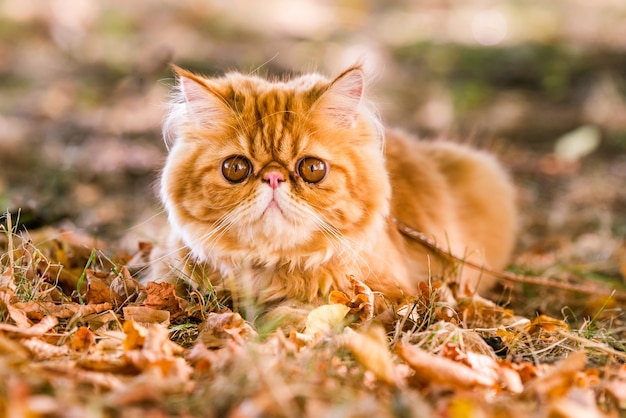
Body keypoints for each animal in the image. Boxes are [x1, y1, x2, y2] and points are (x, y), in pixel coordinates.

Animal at [152, 63, 516, 316]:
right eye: (236, 169)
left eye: (312, 169)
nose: (273, 178)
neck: (270, 268)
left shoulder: (391, 293)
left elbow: (304, 310)